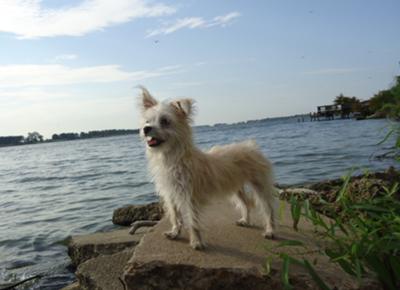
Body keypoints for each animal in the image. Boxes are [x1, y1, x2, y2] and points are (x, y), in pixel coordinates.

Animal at [139, 86, 276, 249]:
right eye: (147, 121)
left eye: (165, 121)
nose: (146, 128)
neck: (171, 157)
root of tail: (251, 146)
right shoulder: (170, 194)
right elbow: (175, 216)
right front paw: (175, 233)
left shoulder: (191, 197)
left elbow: (193, 221)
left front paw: (196, 242)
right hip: (235, 187)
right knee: (246, 203)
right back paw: (245, 220)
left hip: (259, 185)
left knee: (267, 208)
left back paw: (270, 230)